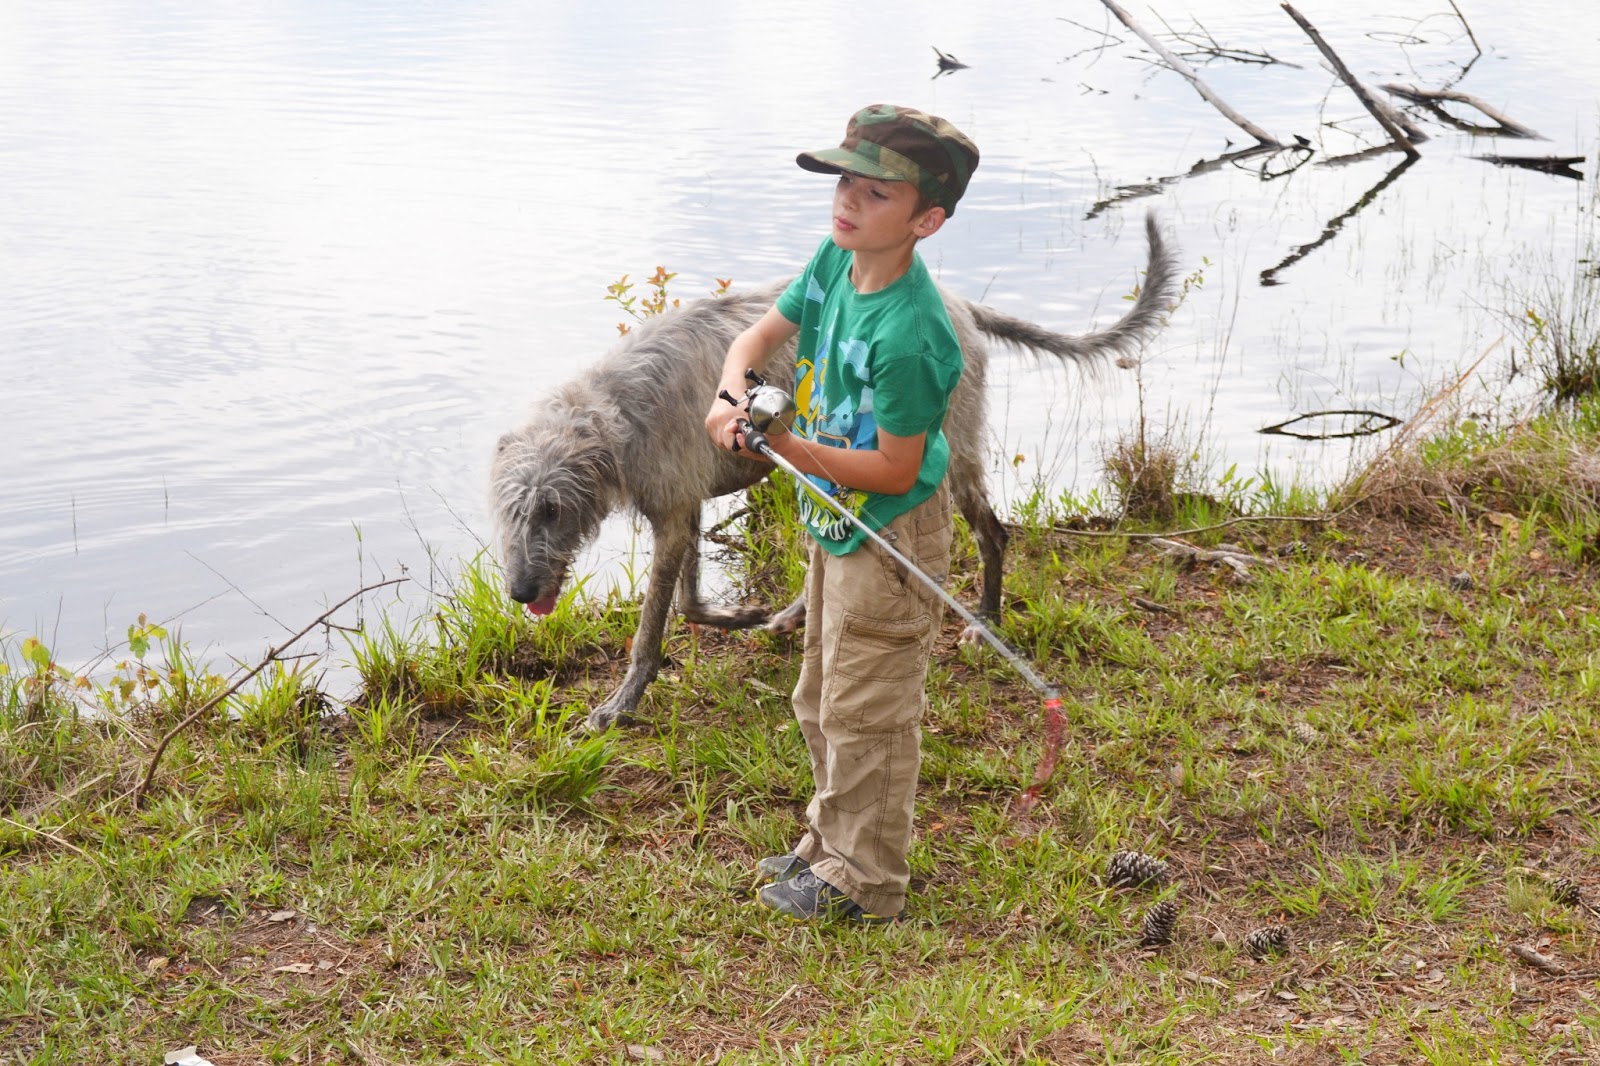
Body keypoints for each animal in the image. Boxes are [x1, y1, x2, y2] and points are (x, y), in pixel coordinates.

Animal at [491, 213, 1176, 730]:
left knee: (991, 531)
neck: (611, 410)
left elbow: (652, 625)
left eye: (551, 509)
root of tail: (960, 305)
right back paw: (795, 616)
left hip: (941, 450)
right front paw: (732, 616)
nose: (521, 592)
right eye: (509, 513)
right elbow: (687, 597)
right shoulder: (682, 504)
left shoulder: (672, 502)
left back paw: (985, 620)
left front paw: (621, 704)